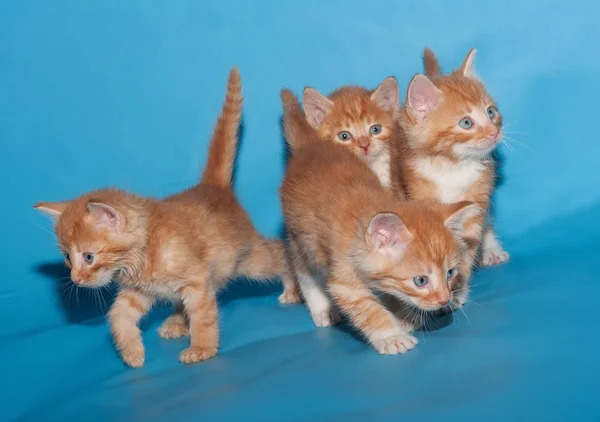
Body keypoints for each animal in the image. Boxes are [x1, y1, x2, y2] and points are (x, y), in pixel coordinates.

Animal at [34, 68, 298, 366]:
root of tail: (212, 188)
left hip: (247, 258)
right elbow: (118, 315)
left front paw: (202, 348)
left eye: (88, 257)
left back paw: (293, 287)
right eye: (68, 257)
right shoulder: (139, 292)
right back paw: (175, 322)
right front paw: (132, 352)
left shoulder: (197, 281)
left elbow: (204, 316)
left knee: (279, 253)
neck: (145, 252)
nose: (76, 279)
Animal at [280, 90, 478, 354]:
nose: (445, 299)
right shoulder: (344, 275)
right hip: (301, 235)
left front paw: (403, 316)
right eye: (421, 280)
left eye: (450, 273)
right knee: (303, 269)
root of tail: (310, 145)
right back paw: (321, 308)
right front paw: (391, 335)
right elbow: (368, 309)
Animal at [396, 47, 508, 314]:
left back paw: (492, 249)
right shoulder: (419, 197)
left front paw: (456, 292)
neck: (452, 167)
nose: (495, 132)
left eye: (491, 112)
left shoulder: (475, 204)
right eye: (466, 122)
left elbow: (466, 248)